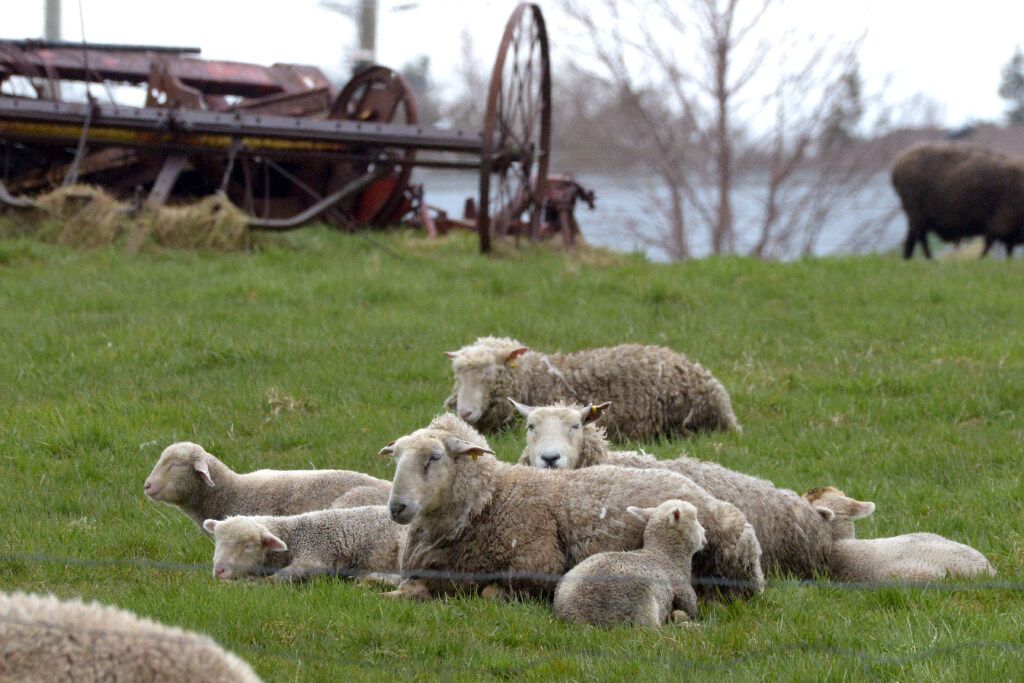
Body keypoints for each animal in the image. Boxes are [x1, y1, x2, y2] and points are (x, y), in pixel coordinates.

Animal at [203, 505, 405, 583]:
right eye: (217, 542)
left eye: (248, 546)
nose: (219, 570)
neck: (294, 535)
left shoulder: (315, 557)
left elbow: (277, 578)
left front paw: (246, 583)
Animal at [381, 413, 763, 602]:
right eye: (395, 457)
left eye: (434, 457)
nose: (397, 507)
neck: (490, 501)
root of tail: (700, 489)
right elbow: (408, 589)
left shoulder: (539, 566)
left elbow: (490, 593)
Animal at [553, 499, 705, 627]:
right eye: (695, 519)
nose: (705, 535)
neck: (666, 556)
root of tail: (575, 613)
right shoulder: (684, 591)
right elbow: (692, 611)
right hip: (641, 607)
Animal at [891, 141, 1024, 259]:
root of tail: (897, 165)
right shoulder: (1000, 224)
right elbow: (990, 245)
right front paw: (981, 260)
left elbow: (1006, 248)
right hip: (917, 214)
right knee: (919, 239)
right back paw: (929, 261)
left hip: (917, 216)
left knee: (914, 239)